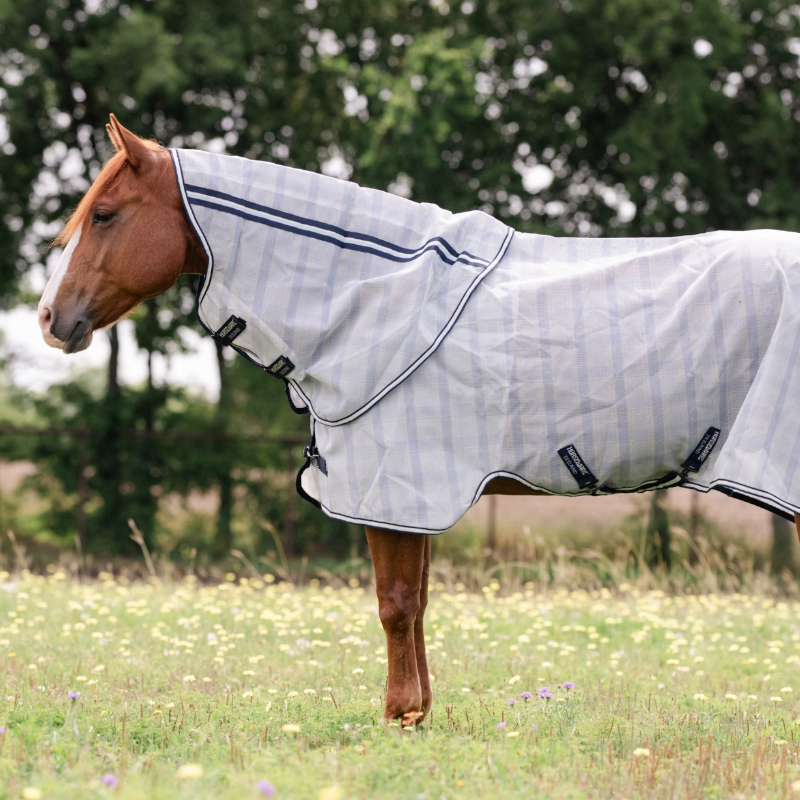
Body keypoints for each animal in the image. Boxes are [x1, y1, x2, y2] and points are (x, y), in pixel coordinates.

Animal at [38, 115, 800, 723]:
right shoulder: (414, 494)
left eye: (105, 214)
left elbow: (395, 602)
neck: (374, 292)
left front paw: (398, 716)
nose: (49, 319)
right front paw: (421, 713)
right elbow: (420, 602)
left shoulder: (394, 484)